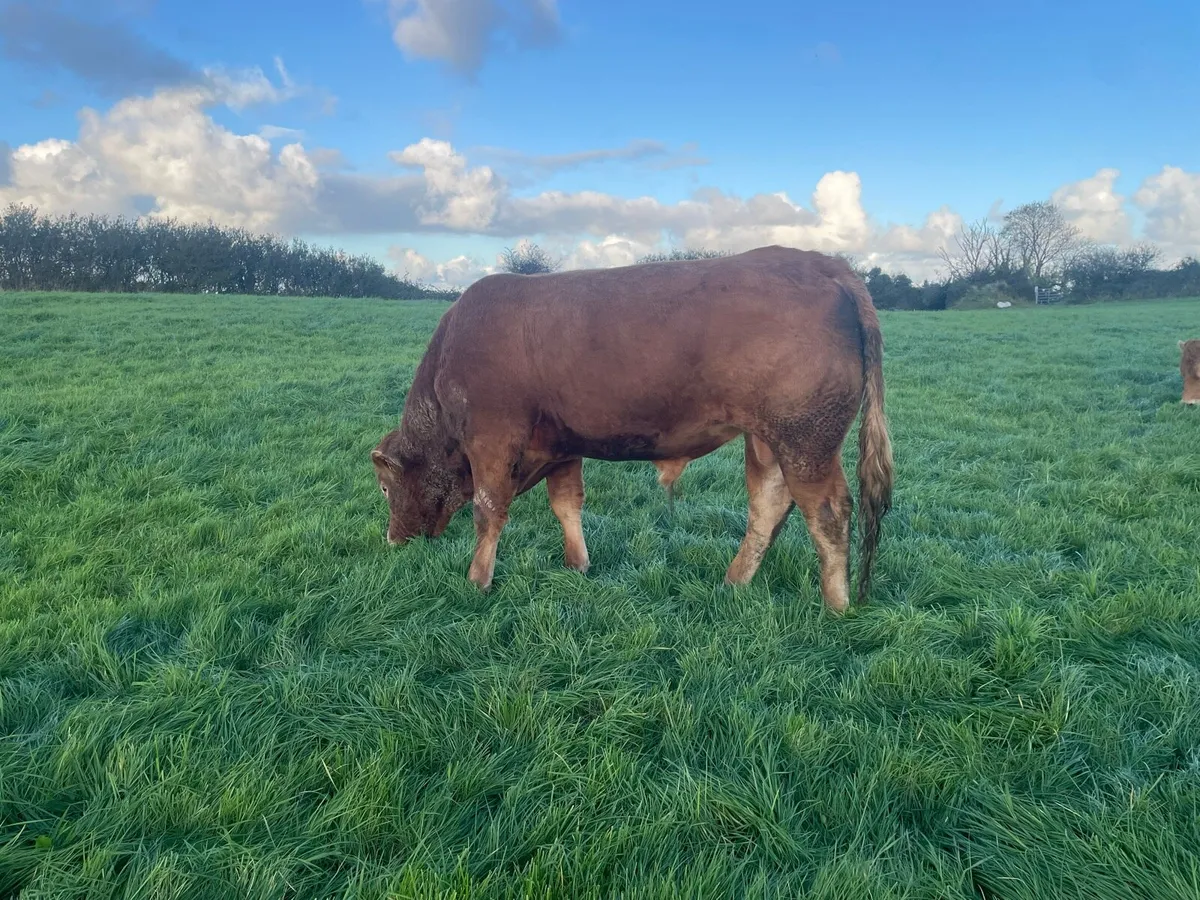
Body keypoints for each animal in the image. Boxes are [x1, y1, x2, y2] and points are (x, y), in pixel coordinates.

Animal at [371, 245, 894, 613]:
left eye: (383, 487)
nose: (392, 541)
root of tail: (825, 264)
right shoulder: (561, 446)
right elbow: (567, 505)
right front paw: (577, 566)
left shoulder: (492, 442)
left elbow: (488, 510)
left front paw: (477, 582)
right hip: (767, 439)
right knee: (769, 506)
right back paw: (734, 582)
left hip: (806, 438)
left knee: (827, 513)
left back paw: (835, 606)